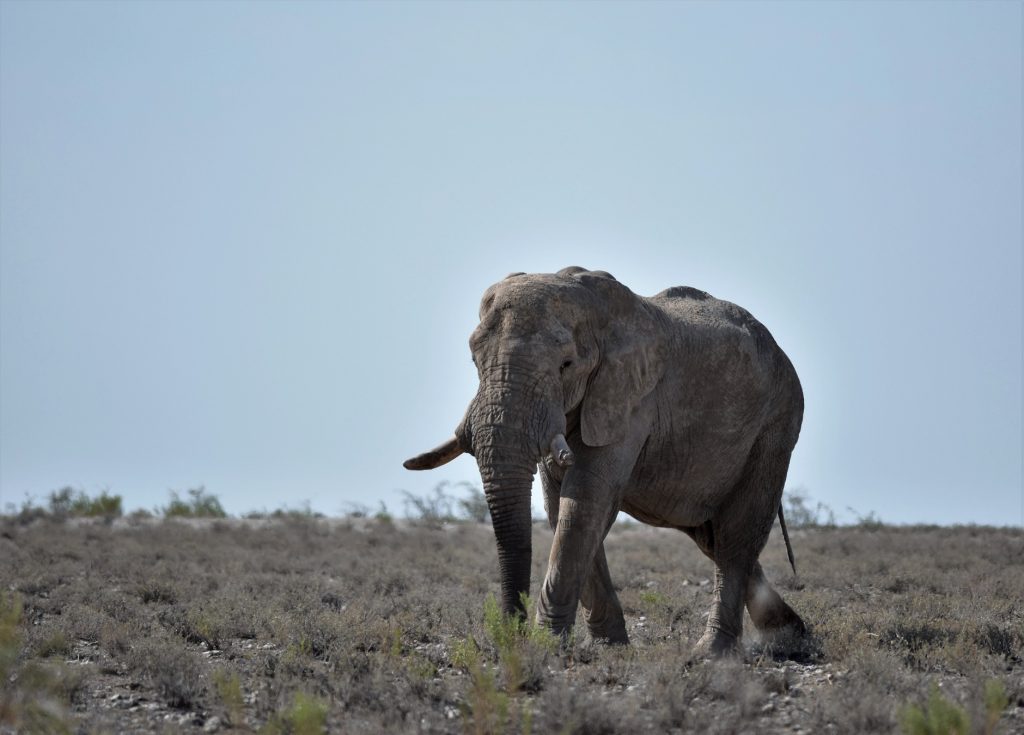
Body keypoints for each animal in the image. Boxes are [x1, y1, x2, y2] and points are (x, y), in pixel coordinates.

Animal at [403, 266, 802, 655]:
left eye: (566, 365)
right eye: (474, 359)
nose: (510, 636)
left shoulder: (629, 399)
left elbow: (585, 498)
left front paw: (547, 646)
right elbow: (561, 505)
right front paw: (607, 646)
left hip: (776, 425)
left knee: (736, 537)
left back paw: (713, 652)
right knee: (711, 536)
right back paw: (793, 634)